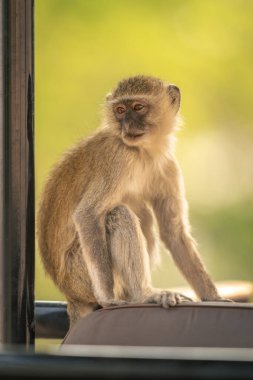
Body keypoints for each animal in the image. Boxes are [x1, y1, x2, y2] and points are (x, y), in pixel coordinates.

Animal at [37, 75, 221, 326]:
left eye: (138, 107)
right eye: (120, 110)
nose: (127, 125)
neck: (143, 153)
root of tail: (71, 295)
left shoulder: (168, 166)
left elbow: (173, 232)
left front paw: (215, 298)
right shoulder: (119, 157)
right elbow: (87, 215)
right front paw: (108, 298)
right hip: (81, 276)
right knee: (118, 213)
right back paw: (142, 295)